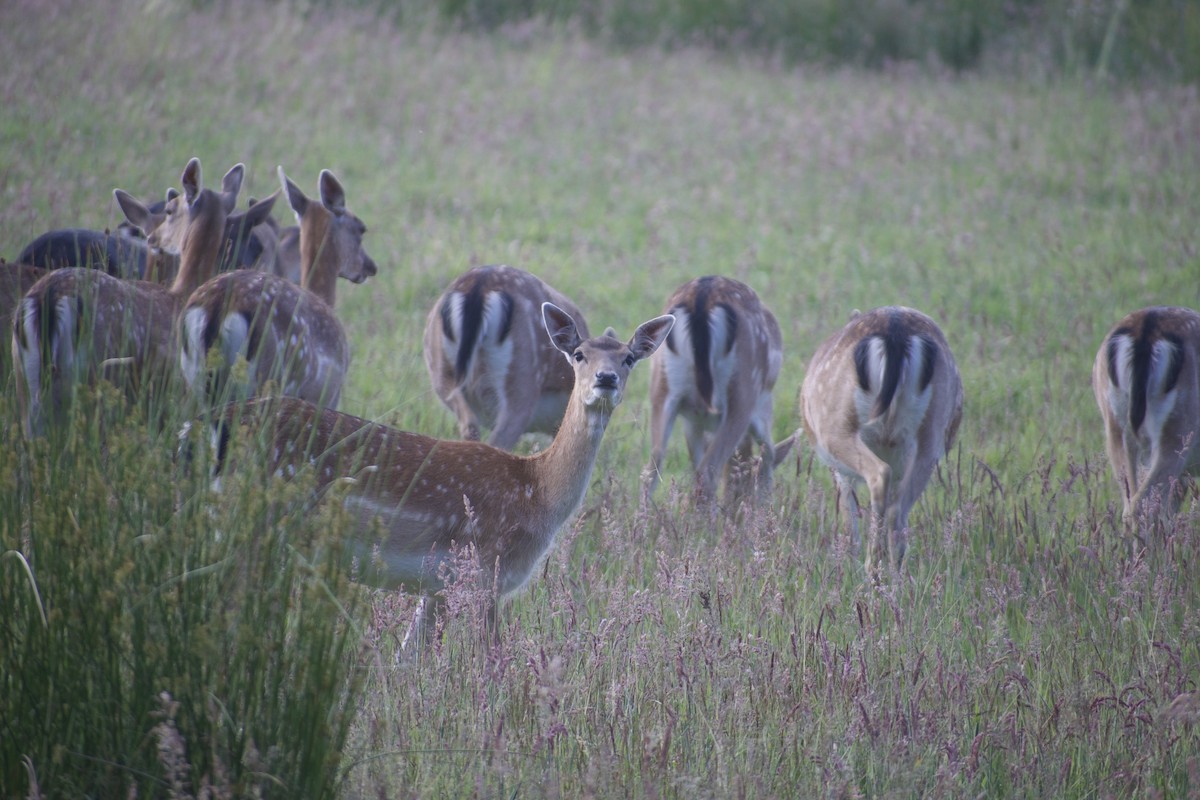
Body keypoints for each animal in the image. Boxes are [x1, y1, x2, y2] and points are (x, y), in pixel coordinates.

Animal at [12, 158, 274, 436]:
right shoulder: (171, 385)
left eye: (169, 211)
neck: (179, 295)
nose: (153, 239)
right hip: (84, 371)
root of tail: (47, 300)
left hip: (24, 375)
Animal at [177, 166, 375, 411]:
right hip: (266, 377)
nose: (370, 266)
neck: (323, 298)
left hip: (193, 378)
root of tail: (216, 308)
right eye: (361, 229)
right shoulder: (329, 395)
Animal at [193, 303, 674, 646]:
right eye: (578, 355)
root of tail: (206, 427)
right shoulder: (483, 570)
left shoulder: (438, 584)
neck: (536, 492)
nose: (606, 378)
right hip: (251, 524)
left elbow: (409, 656)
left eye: (629, 358)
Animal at [640, 275, 784, 510]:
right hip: (742, 391)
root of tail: (700, 301)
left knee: (651, 469)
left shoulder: (692, 420)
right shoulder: (762, 407)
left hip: (661, 386)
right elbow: (768, 454)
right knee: (707, 474)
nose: (736, 507)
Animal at [798, 306, 963, 575]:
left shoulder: (838, 470)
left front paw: (846, 563)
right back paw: (894, 574)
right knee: (898, 508)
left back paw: (871, 566)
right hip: (932, 433)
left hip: (836, 428)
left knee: (879, 474)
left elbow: (848, 515)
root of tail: (895, 332)